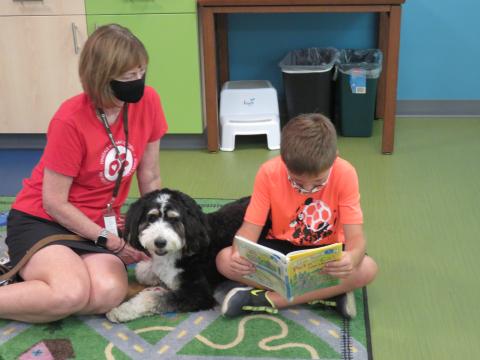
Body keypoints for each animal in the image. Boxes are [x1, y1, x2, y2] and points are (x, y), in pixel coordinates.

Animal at [106, 188, 251, 324]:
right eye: (151, 218)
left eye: (174, 219)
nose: (160, 242)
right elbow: (142, 271)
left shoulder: (199, 294)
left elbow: (153, 297)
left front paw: (121, 311)